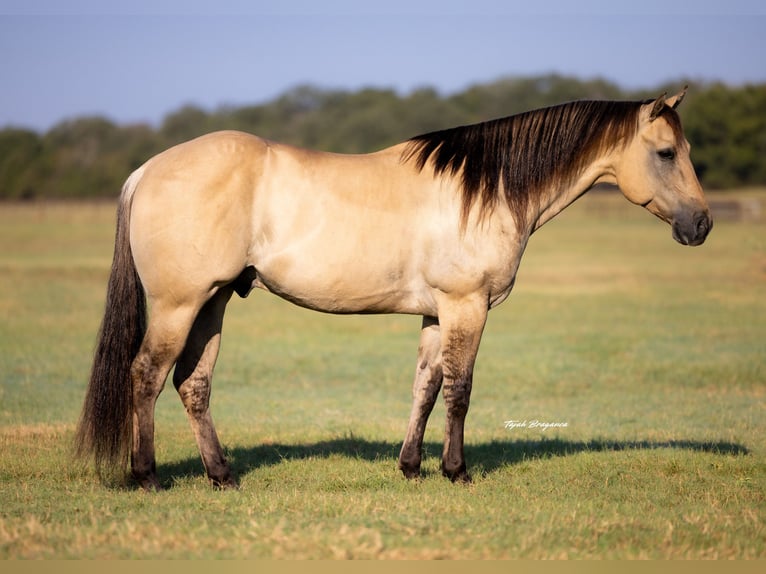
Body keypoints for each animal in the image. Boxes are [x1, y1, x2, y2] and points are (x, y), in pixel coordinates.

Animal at [75, 88, 712, 490]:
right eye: (666, 153)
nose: (701, 224)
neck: (483, 190)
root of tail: (147, 170)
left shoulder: (436, 314)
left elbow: (425, 387)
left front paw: (410, 467)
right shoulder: (466, 306)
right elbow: (460, 389)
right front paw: (456, 472)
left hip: (214, 300)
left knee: (193, 383)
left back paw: (222, 476)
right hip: (179, 304)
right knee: (147, 375)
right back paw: (148, 477)